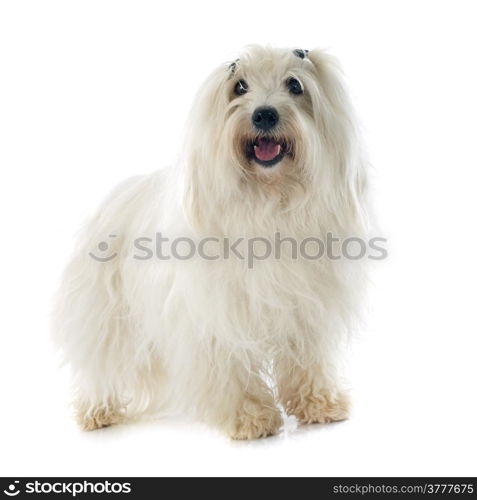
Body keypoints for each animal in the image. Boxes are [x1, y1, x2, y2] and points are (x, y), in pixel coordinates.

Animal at [54, 46, 370, 438]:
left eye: (295, 85)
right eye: (240, 86)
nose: (264, 114)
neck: (268, 201)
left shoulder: (305, 308)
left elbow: (307, 360)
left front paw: (319, 403)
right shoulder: (218, 314)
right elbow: (230, 367)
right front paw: (250, 416)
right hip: (108, 316)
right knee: (101, 366)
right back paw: (97, 411)